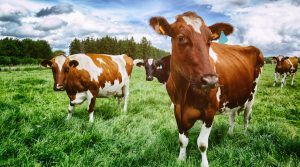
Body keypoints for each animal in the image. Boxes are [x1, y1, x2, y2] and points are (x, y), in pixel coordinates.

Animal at [149, 11, 264, 166]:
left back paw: (245, 135)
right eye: (181, 37)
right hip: (233, 96)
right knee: (233, 116)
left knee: (246, 118)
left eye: (210, 40)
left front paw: (204, 163)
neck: (184, 92)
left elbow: (202, 144)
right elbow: (182, 140)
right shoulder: (177, 109)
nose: (211, 81)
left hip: (251, 96)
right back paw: (230, 134)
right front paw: (181, 159)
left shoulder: (210, 112)